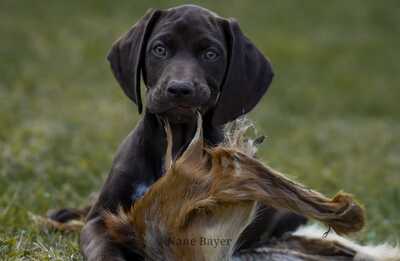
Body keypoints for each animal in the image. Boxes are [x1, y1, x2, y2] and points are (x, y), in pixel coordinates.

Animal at [52, 4, 304, 260]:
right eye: (159, 49)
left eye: (211, 54)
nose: (180, 88)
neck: (176, 141)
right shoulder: (100, 218)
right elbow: (103, 247)